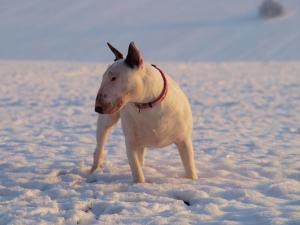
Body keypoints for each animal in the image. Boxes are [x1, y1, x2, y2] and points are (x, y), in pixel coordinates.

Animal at [91, 41, 199, 183]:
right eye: (103, 77)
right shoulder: (131, 143)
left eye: (113, 78)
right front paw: (140, 184)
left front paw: (193, 180)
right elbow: (137, 171)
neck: (147, 106)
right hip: (107, 122)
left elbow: (190, 168)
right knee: (100, 146)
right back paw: (93, 170)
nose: (97, 108)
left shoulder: (184, 140)